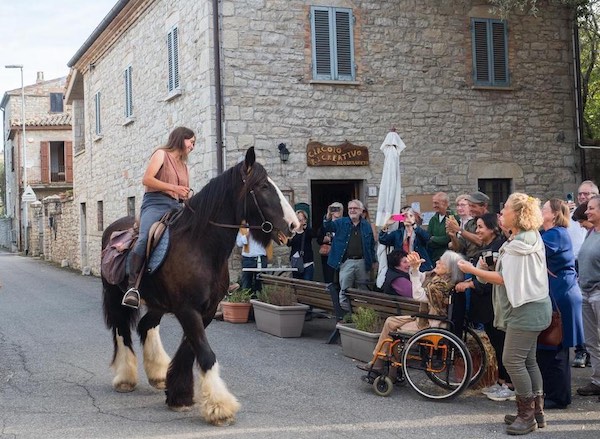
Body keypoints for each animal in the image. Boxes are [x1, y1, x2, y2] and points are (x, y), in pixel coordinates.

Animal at [103, 149, 302, 426]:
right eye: (263, 186)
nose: (294, 225)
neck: (200, 247)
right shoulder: (188, 310)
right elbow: (205, 354)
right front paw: (220, 407)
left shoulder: (205, 311)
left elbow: (191, 351)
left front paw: (179, 395)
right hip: (117, 297)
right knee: (122, 331)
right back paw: (125, 378)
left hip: (157, 304)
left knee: (145, 326)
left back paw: (157, 373)